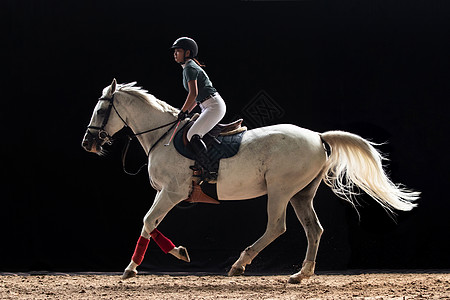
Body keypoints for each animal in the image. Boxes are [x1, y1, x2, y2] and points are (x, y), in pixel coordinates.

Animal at [80, 79, 418, 284]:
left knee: (277, 227)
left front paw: (131, 268)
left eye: (100, 109)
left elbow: (149, 221)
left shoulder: (172, 192)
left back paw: (240, 264)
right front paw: (180, 252)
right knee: (314, 229)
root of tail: (318, 136)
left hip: (280, 190)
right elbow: (149, 223)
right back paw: (301, 274)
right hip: (301, 194)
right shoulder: (166, 192)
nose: (88, 143)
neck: (162, 136)